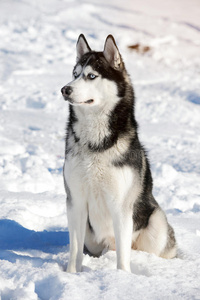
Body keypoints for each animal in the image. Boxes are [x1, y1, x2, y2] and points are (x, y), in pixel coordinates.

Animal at [61, 34, 177, 274]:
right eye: (75, 74)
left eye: (91, 76)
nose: (65, 89)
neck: (95, 144)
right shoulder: (75, 201)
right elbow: (74, 250)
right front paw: (71, 275)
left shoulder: (121, 205)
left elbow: (123, 258)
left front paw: (122, 278)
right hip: (92, 239)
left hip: (156, 222)